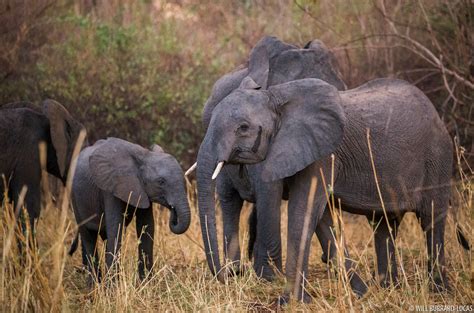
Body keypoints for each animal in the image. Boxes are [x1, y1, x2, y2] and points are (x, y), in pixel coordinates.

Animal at [69, 138, 191, 280]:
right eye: (161, 182)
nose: (173, 210)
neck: (144, 155)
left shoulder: (141, 190)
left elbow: (146, 227)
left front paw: (146, 282)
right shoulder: (110, 188)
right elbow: (116, 228)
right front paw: (113, 286)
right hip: (75, 198)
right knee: (88, 237)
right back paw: (94, 284)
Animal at [194, 67, 458, 302]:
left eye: (243, 128)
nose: (228, 277)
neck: (277, 98)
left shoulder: (323, 153)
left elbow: (304, 210)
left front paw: (290, 302)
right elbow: (321, 218)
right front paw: (361, 295)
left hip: (438, 158)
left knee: (431, 218)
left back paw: (438, 291)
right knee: (384, 224)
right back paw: (386, 288)